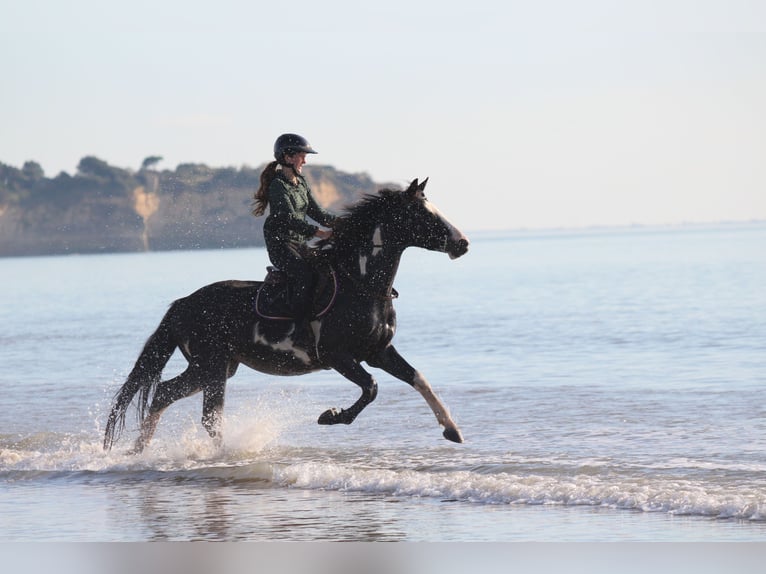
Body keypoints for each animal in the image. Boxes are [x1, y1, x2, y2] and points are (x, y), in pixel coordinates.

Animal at [103, 178, 470, 452]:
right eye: (422, 215)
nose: (462, 244)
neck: (360, 285)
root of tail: (183, 304)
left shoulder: (379, 352)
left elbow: (419, 379)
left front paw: (452, 430)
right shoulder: (338, 356)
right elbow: (372, 388)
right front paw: (331, 416)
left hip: (215, 367)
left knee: (165, 394)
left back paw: (139, 451)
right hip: (212, 366)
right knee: (207, 415)